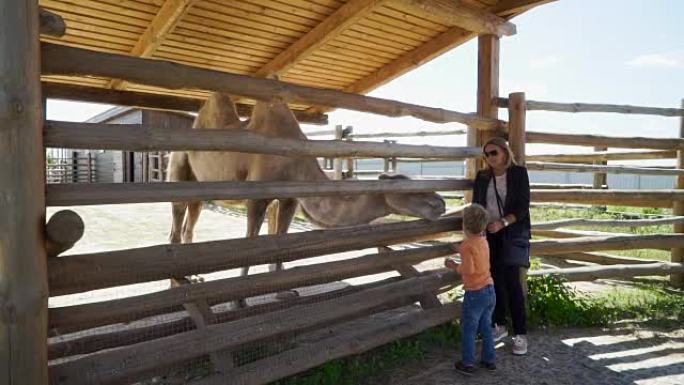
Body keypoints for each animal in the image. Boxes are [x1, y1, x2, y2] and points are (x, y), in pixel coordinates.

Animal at [168, 94, 446, 278]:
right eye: (410, 191)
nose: (441, 203)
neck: (295, 161)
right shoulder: (256, 198)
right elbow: (250, 247)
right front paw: (240, 301)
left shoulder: (290, 199)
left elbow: (280, 243)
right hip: (179, 165)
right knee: (177, 222)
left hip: (199, 188)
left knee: (189, 223)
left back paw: (192, 277)